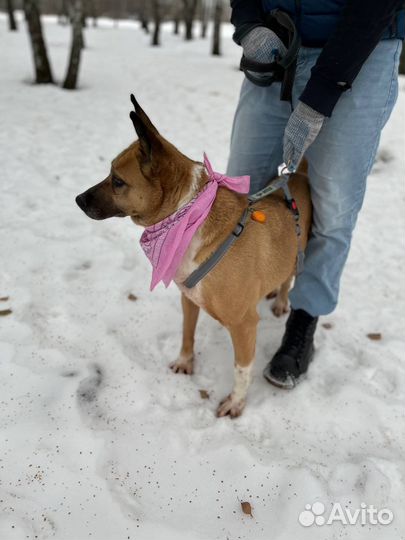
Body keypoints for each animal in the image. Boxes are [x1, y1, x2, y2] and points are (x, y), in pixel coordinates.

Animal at [75, 96, 310, 418]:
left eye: (118, 181)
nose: (78, 200)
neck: (189, 217)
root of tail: (298, 176)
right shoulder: (188, 297)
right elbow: (187, 332)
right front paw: (185, 362)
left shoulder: (245, 324)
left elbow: (241, 369)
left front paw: (236, 402)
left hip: (299, 255)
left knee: (289, 278)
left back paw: (283, 300)